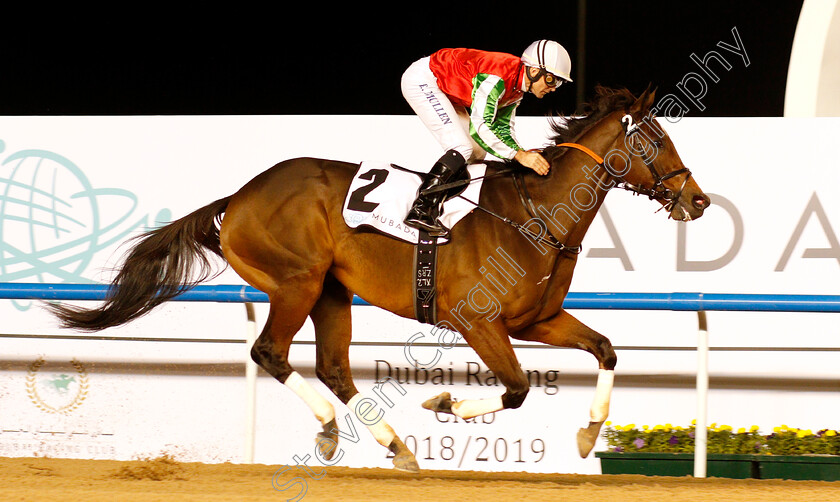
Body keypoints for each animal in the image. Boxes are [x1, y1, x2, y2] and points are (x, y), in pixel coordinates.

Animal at [47, 85, 708, 470]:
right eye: (657, 140)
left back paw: (393, 445)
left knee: (334, 368)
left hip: (333, 292)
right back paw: (333, 433)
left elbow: (605, 349)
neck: (534, 217)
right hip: (296, 281)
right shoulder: (478, 321)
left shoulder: (536, 320)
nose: (698, 200)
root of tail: (237, 198)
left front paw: (589, 434)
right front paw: (444, 401)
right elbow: (518, 387)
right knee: (270, 352)